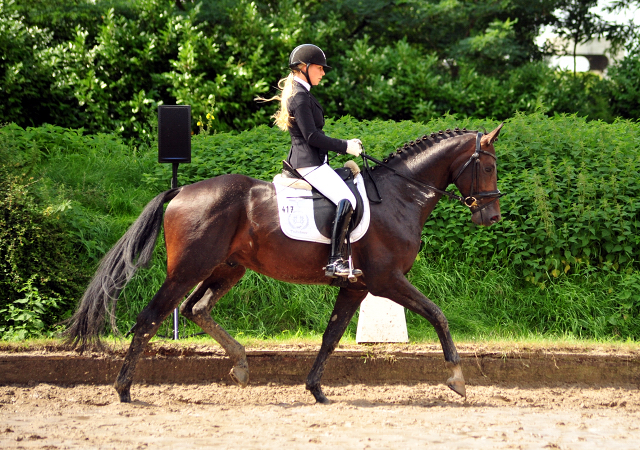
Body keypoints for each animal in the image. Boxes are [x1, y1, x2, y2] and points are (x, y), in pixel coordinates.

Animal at [65, 123, 504, 404]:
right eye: (488, 166)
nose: (492, 216)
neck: (401, 195)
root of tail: (182, 190)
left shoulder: (357, 285)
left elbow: (331, 336)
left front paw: (316, 389)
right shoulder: (386, 280)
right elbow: (437, 314)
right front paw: (457, 379)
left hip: (227, 268)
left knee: (195, 308)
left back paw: (241, 365)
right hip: (189, 269)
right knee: (152, 317)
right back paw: (124, 390)